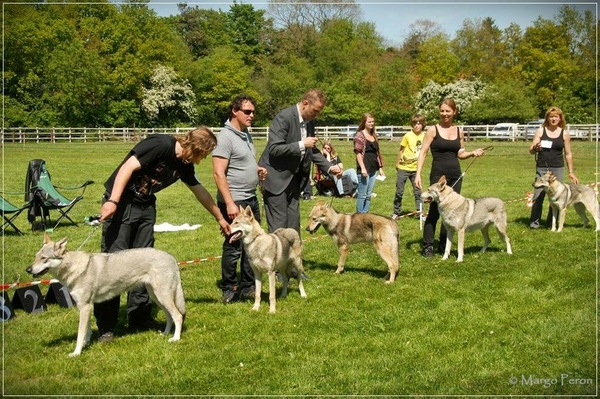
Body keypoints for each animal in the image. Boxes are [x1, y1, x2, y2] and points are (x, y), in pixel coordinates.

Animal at [26, 233, 185, 358]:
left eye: (44, 258)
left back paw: (175, 339)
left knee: (178, 316)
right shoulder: (86, 307)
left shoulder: (85, 307)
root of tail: (171, 257)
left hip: (162, 296)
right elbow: (87, 332)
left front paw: (76, 353)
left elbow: (79, 334)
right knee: (170, 316)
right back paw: (165, 333)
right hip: (157, 297)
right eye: (35, 257)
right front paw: (86, 345)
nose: (28, 269)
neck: (73, 268)